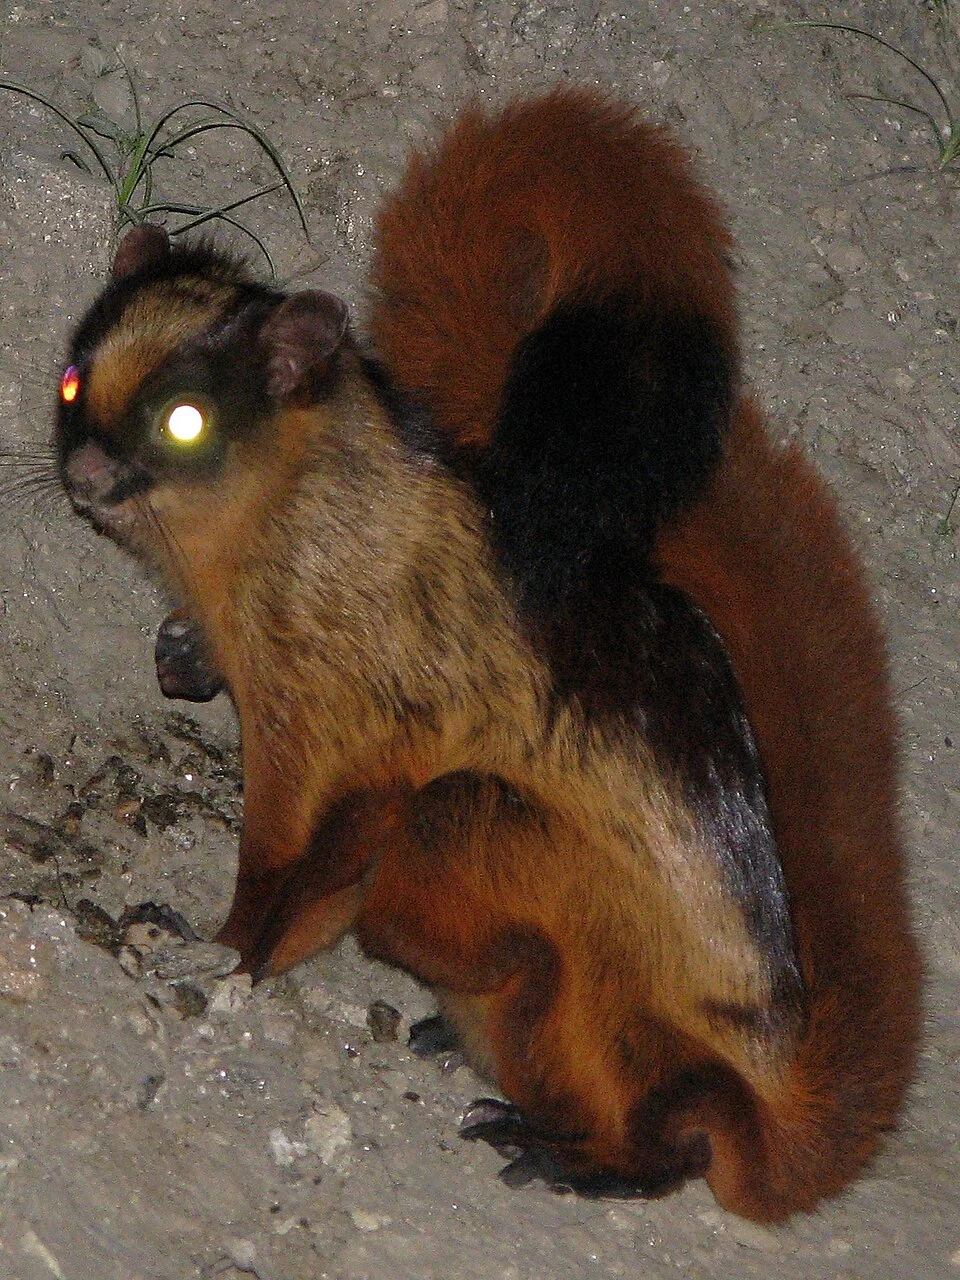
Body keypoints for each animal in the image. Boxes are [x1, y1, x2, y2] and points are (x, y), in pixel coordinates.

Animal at [54, 88, 921, 1223]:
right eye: (73, 380)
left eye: (186, 420)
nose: (81, 471)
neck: (289, 516)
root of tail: (785, 1090)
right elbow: (314, 885)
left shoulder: (330, 735)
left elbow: (280, 875)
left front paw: (219, 955)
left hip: (486, 847)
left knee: (684, 1127)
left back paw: (578, 1149)